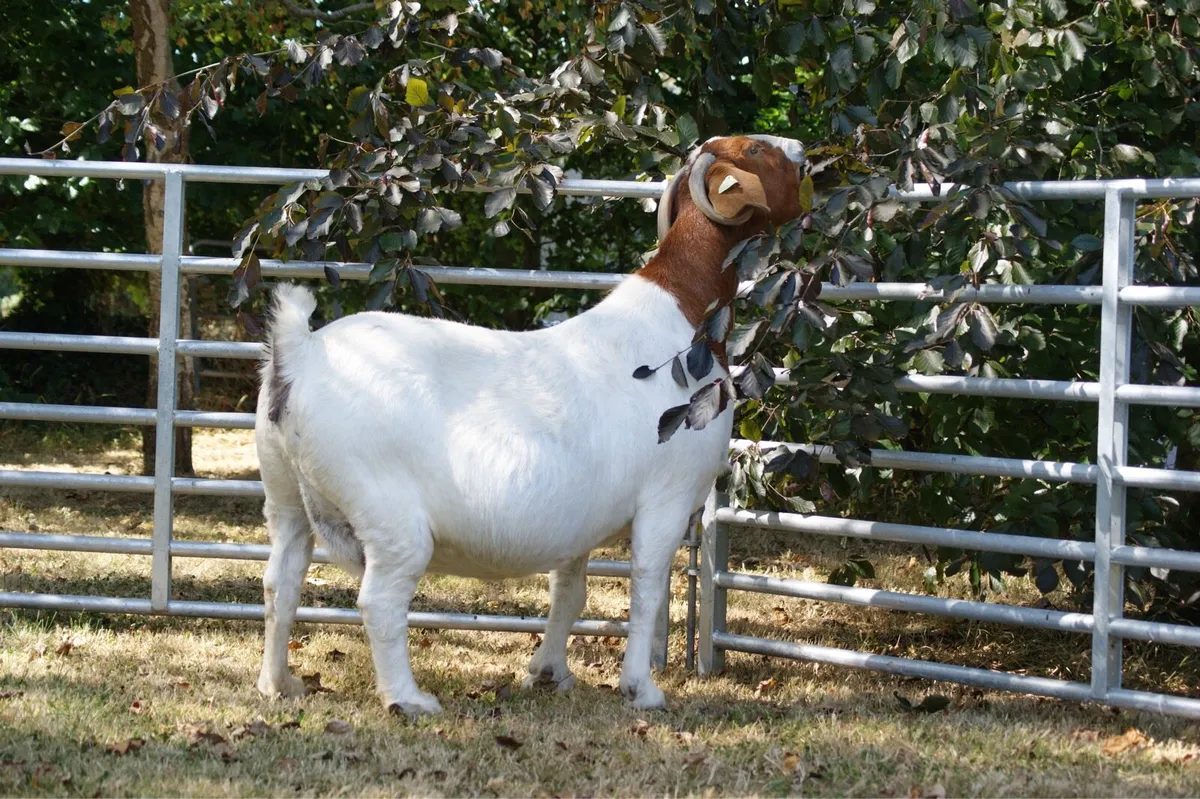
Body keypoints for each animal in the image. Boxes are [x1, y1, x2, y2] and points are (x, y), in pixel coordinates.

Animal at [254, 134, 805, 715]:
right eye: (756, 150)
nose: (802, 153)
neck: (685, 319)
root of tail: (301, 352)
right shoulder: (668, 497)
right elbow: (648, 587)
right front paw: (641, 689)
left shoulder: (580, 524)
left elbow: (570, 590)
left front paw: (548, 672)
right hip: (386, 510)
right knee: (380, 598)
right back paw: (409, 699)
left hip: (285, 493)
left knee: (280, 580)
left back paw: (278, 684)